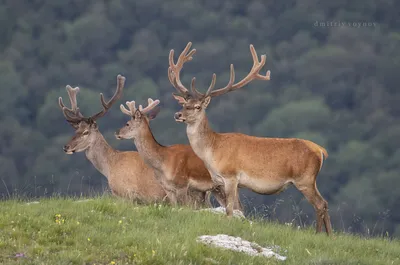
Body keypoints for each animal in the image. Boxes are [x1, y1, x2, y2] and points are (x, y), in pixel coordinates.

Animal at [168, 42, 332, 234]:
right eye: (184, 104)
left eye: (198, 107)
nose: (178, 115)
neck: (212, 151)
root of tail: (321, 150)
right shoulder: (225, 182)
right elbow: (237, 209)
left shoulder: (231, 176)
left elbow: (230, 210)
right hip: (311, 180)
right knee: (324, 203)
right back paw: (330, 236)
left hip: (304, 179)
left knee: (320, 204)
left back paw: (319, 234)